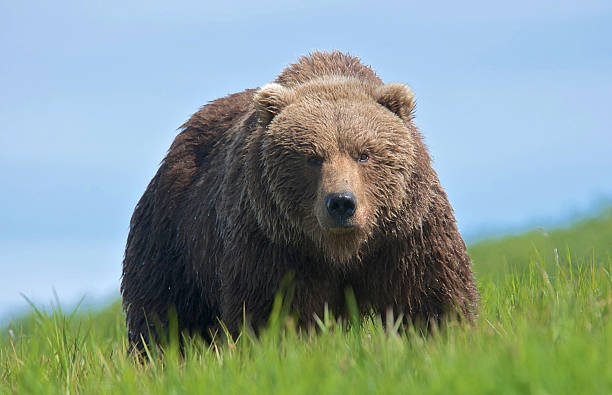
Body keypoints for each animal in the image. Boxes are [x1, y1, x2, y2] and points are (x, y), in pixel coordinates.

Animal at [122, 51, 480, 352]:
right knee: (166, 316)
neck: (341, 251)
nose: (341, 203)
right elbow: (274, 311)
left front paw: (446, 334)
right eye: (312, 157)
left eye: (364, 153)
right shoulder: (275, 243)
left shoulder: (404, 234)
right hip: (176, 239)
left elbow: (430, 297)